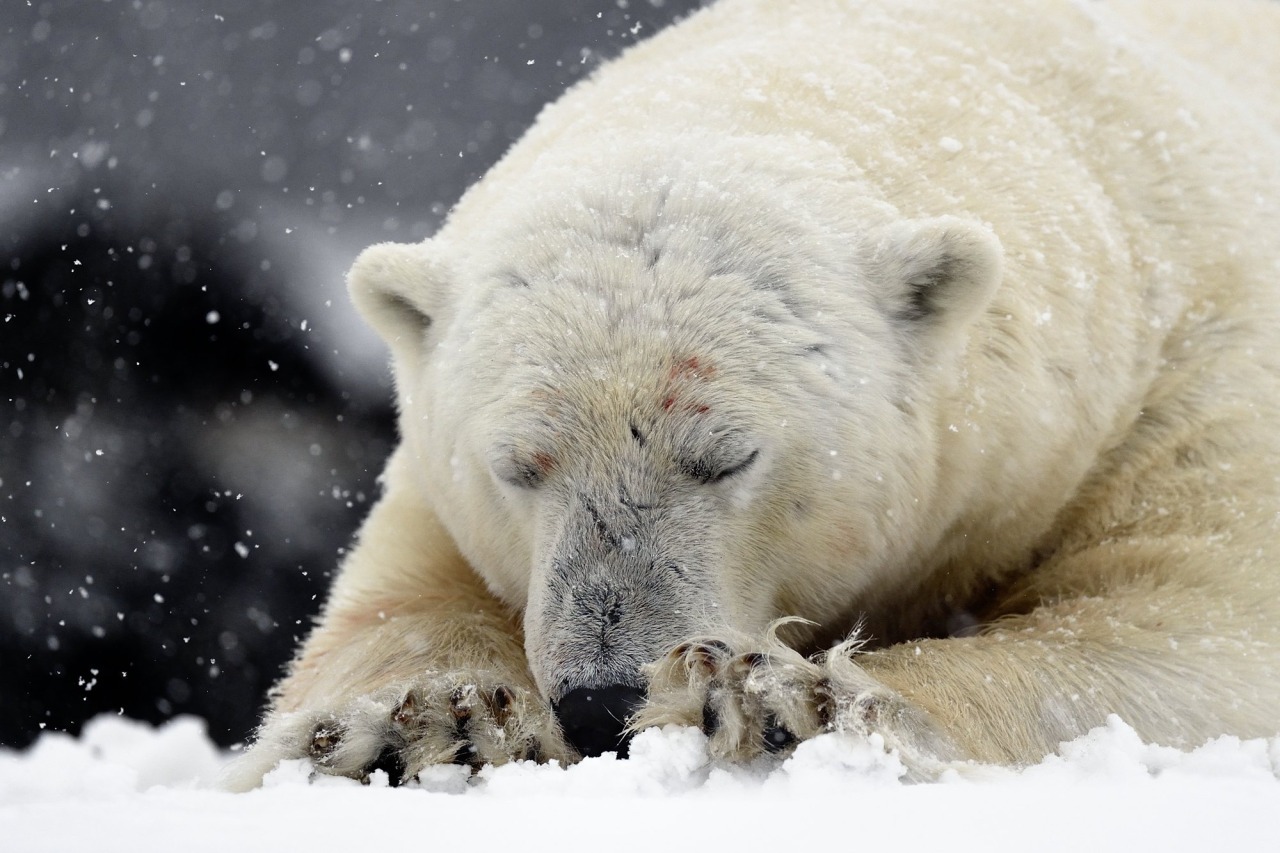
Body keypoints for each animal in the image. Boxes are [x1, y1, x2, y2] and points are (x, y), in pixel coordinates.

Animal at [222, 0, 1280, 788]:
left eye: (726, 456)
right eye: (518, 465)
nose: (603, 698)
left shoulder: (1191, 378)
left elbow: (1183, 627)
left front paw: (783, 697)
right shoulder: (439, 491)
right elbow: (395, 602)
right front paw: (423, 724)